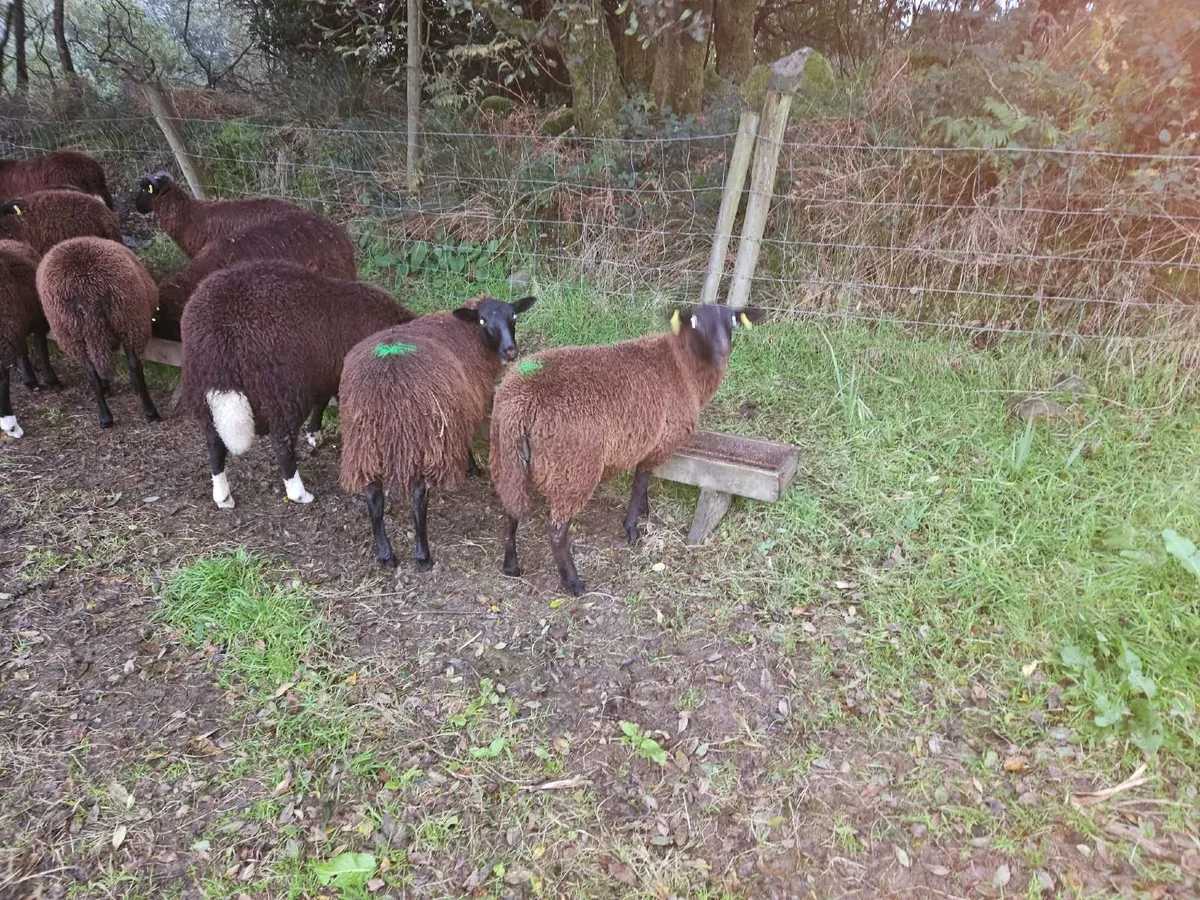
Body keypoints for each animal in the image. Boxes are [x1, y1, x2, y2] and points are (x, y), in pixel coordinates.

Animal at [35, 237, 161, 429]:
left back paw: (111, 415)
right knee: (130, 366)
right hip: (127, 320)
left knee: (97, 370)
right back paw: (141, 411)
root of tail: (86, 291)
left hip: (76, 331)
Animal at [178, 260, 415, 509]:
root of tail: (221, 334)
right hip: (283, 389)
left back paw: (222, 496)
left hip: (200, 387)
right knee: (281, 442)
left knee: (214, 441)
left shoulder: (325, 371)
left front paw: (314, 434)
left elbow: (322, 400)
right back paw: (298, 493)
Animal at [339, 295, 537, 570]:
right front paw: (471, 467)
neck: (467, 331)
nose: (510, 350)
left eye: (513, 316)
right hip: (420, 440)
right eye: (483, 320)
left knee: (373, 499)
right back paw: (423, 556)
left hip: (363, 442)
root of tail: (383, 389)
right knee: (418, 499)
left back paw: (386, 554)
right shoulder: (463, 406)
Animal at [489, 303, 765, 595]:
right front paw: (632, 527)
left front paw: (644, 509)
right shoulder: (660, 440)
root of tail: (521, 404)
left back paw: (511, 565)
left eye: (732, 321)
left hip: (508, 458)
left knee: (511, 508)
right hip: (571, 469)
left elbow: (643, 480)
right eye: (695, 323)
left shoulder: (647, 441)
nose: (723, 349)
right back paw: (573, 582)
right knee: (556, 530)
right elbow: (640, 480)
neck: (684, 365)